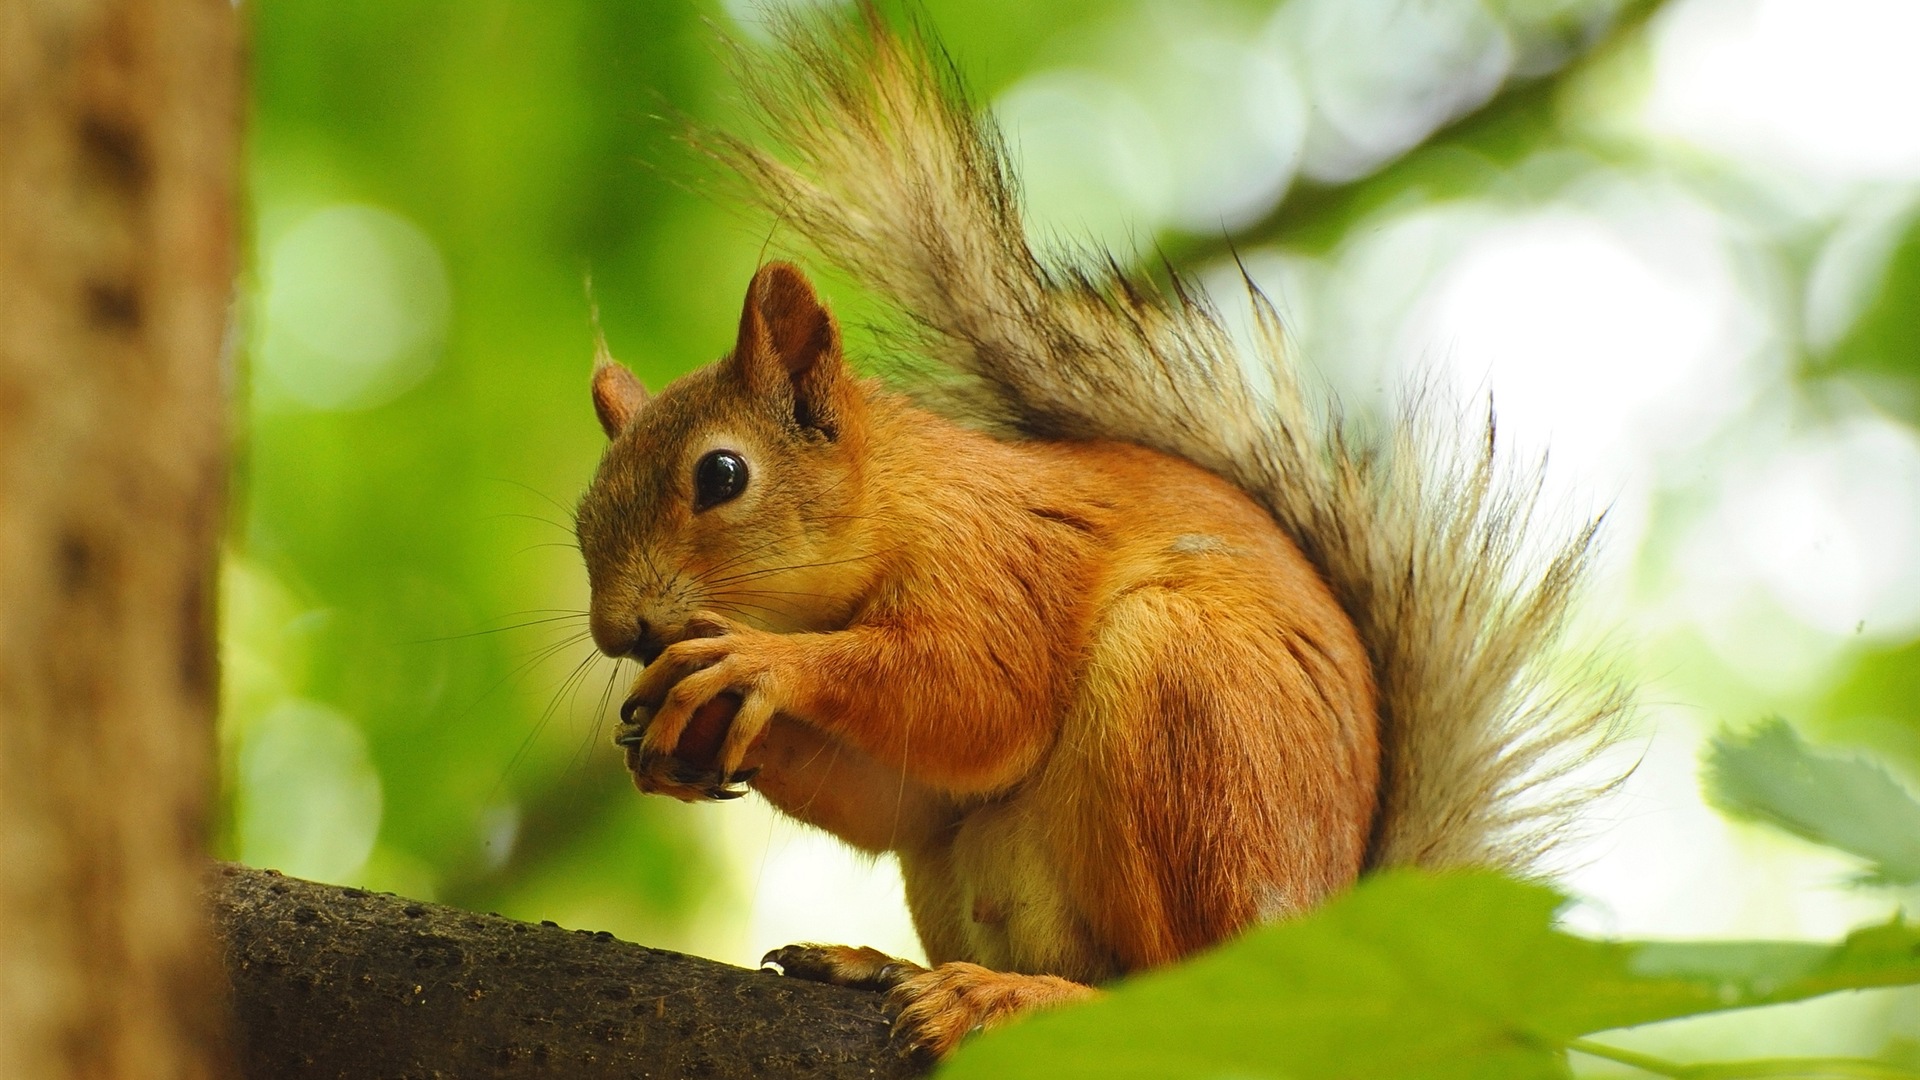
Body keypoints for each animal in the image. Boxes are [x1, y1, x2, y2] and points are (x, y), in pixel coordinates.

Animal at [568, 2, 1620, 1060]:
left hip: (1188, 716)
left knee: (1174, 990)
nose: (619, 632)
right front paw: (677, 732)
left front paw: (757, 663)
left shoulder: (1003, 561)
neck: (901, 501)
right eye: (580, 518)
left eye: (721, 475)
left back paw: (1008, 997)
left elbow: (975, 696)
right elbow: (900, 797)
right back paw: (880, 966)